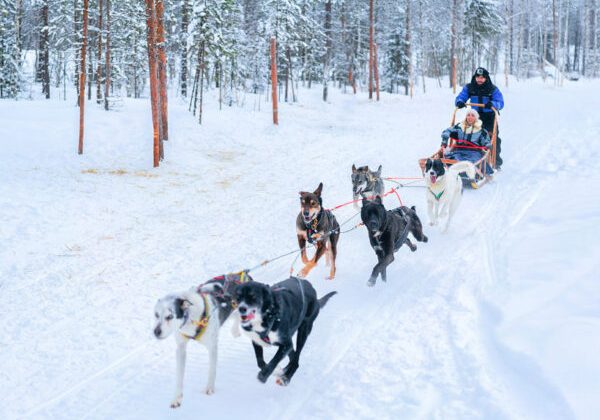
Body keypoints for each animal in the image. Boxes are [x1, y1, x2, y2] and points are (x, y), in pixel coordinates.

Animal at [154, 272, 252, 406]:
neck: (191, 318)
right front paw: (177, 397)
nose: (156, 332)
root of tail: (243, 274)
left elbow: (212, 370)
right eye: (156, 315)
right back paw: (235, 330)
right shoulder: (181, 349)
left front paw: (209, 388)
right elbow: (179, 376)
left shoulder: (212, 346)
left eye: (169, 316)